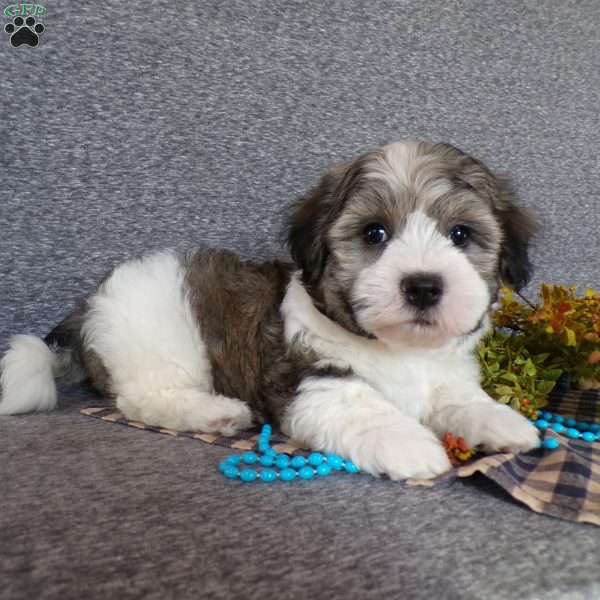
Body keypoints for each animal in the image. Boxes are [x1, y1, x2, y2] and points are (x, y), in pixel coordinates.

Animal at [0, 139, 540, 478]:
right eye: (375, 233)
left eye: (460, 234)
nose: (424, 286)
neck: (398, 349)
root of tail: (89, 303)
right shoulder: (307, 378)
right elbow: (362, 405)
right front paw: (406, 443)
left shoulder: (445, 374)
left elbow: (459, 398)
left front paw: (500, 421)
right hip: (155, 340)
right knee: (144, 397)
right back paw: (214, 413)